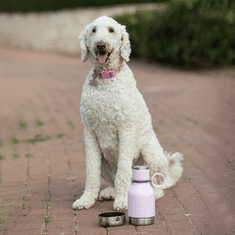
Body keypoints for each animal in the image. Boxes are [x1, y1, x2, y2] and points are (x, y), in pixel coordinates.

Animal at [72, 16, 184, 211]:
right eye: (93, 30)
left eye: (111, 30)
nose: (100, 45)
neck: (106, 79)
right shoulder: (90, 132)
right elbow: (91, 173)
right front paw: (86, 200)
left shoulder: (126, 129)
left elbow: (123, 171)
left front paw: (123, 201)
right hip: (104, 159)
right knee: (111, 179)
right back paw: (110, 192)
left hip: (150, 153)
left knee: (156, 185)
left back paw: (151, 193)